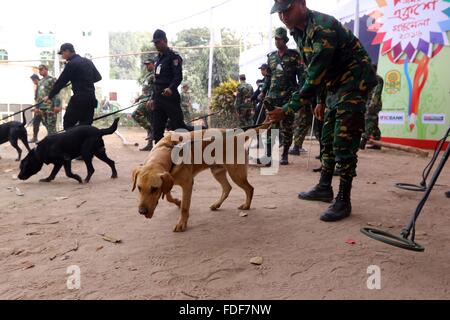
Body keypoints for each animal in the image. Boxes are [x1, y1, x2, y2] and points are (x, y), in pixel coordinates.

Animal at [132, 125, 268, 232]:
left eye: (154, 189)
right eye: (139, 188)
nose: (141, 211)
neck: (167, 150)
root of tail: (238, 136)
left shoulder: (187, 184)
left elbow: (185, 207)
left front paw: (182, 223)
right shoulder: (168, 180)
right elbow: (169, 197)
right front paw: (177, 201)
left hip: (236, 174)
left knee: (249, 188)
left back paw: (246, 205)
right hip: (217, 171)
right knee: (227, 188)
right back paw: (216, 204)